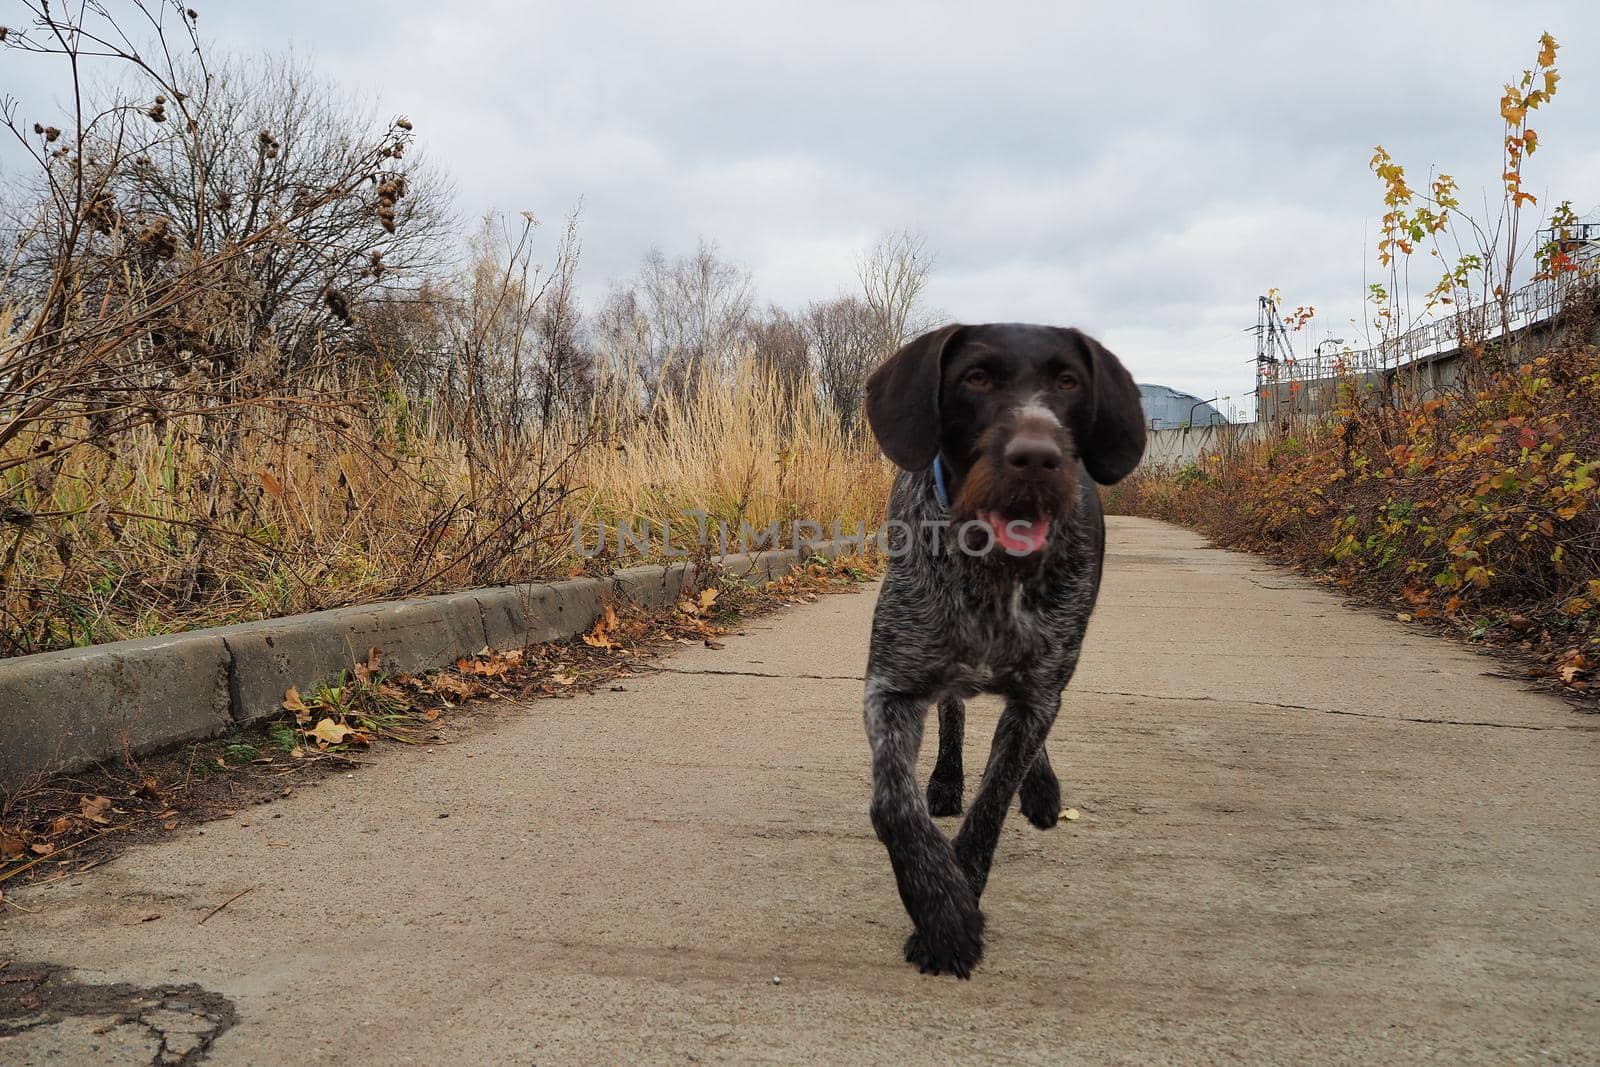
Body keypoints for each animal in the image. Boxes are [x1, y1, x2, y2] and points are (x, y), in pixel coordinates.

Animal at [857, 323, 1145, 979]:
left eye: (1068, 382)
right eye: (976, 377)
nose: (1036, 457)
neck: (992, 571)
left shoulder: (1041, 690)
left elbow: (993, 802)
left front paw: (958, 896)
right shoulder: (893, 686)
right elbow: (893, 805)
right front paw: (943, 913)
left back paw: (1040, 789)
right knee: (954, 709)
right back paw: (945, 780)